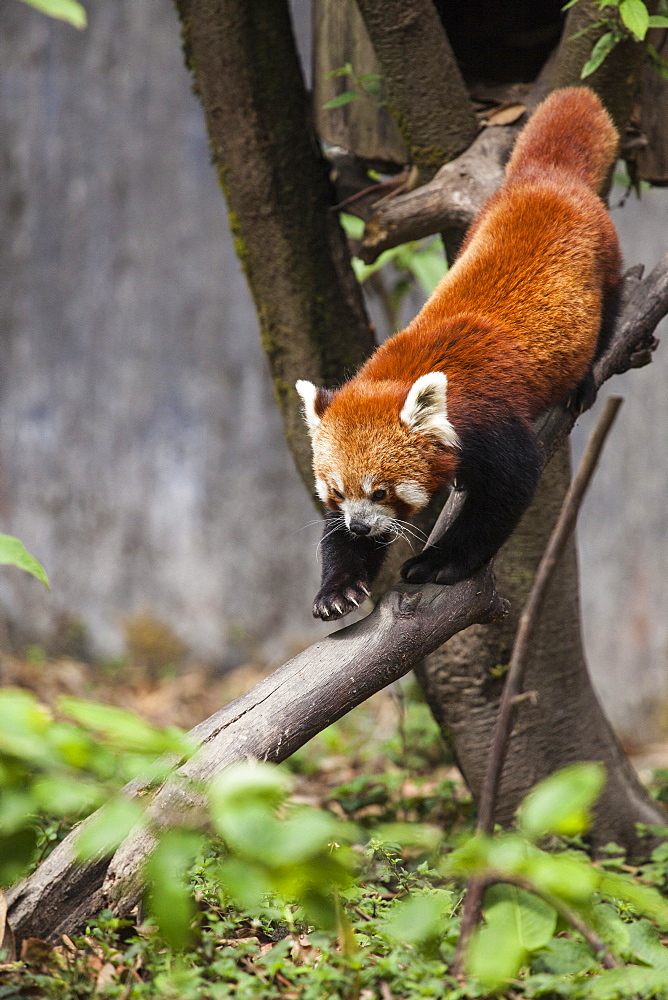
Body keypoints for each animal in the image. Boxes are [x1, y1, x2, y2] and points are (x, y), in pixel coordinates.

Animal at [296, 88, 620, 616]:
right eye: (338, 491)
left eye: (381, 491)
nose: (360, 526)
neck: (400, 370)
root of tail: (546, 178)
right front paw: (339, 583)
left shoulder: (490, 422)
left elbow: (508, 491)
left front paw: (442, 562)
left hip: (605, 264)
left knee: (609, 314)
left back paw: (585, 377)